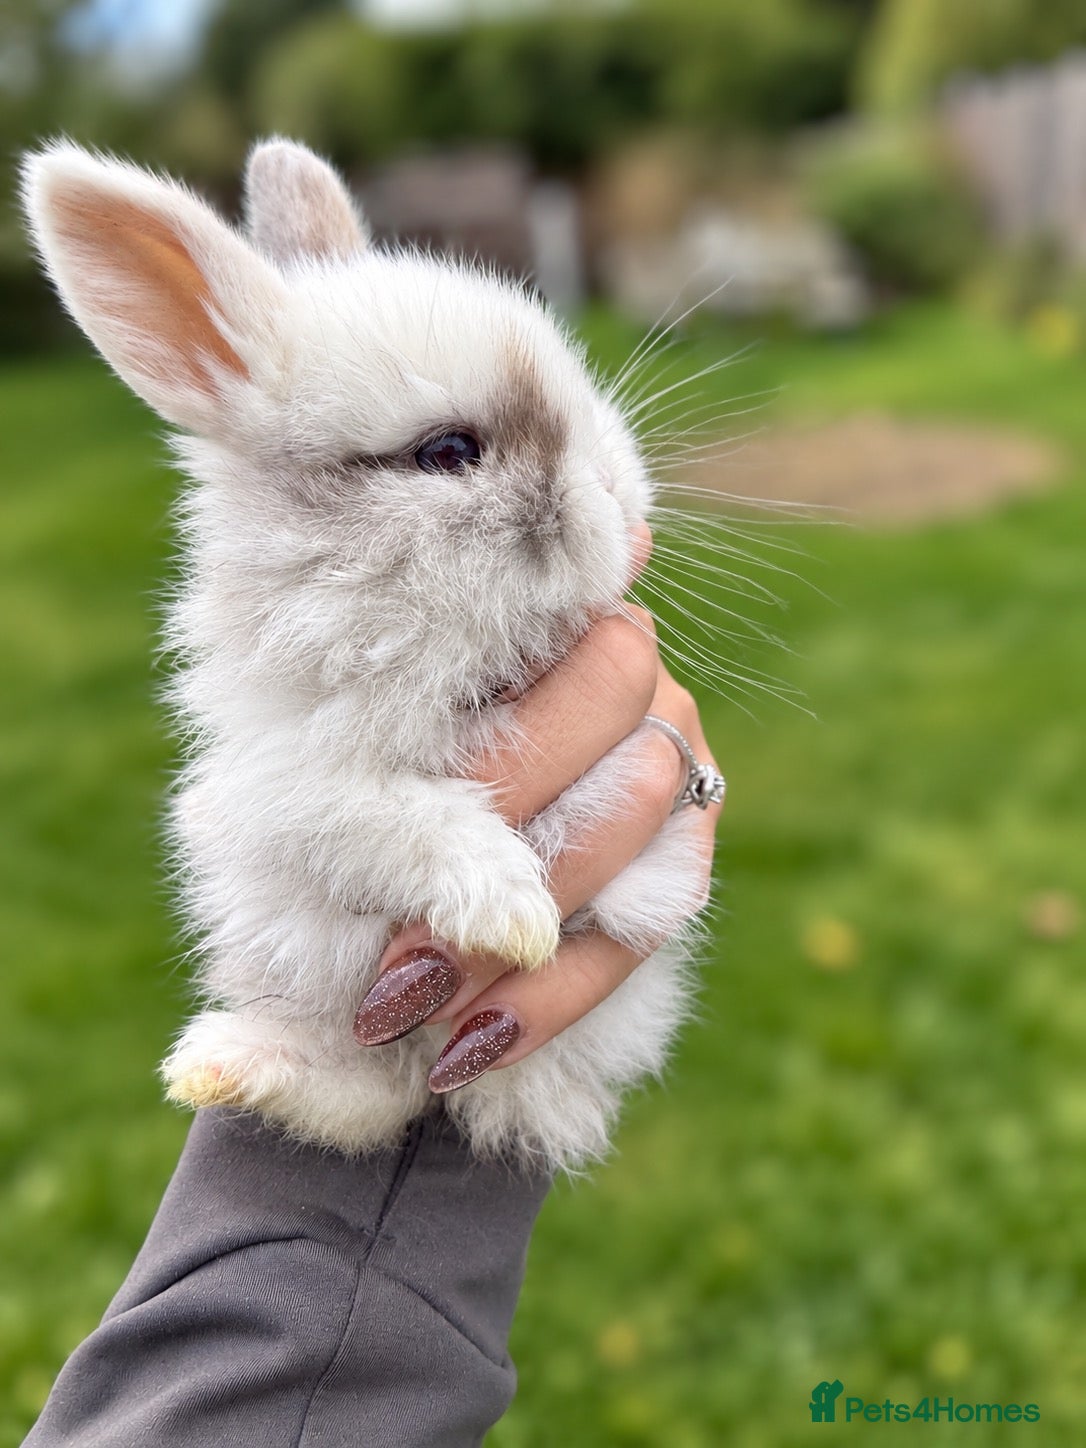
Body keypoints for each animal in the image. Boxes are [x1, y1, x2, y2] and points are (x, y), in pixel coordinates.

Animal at [21, 138, 711, 1172]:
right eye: (448, 452)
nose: (623, 512)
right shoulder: (285, 787)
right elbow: (399, 816)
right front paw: (515, 913)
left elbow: (638, 879)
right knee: (368, 1097)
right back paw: (225, 1065)